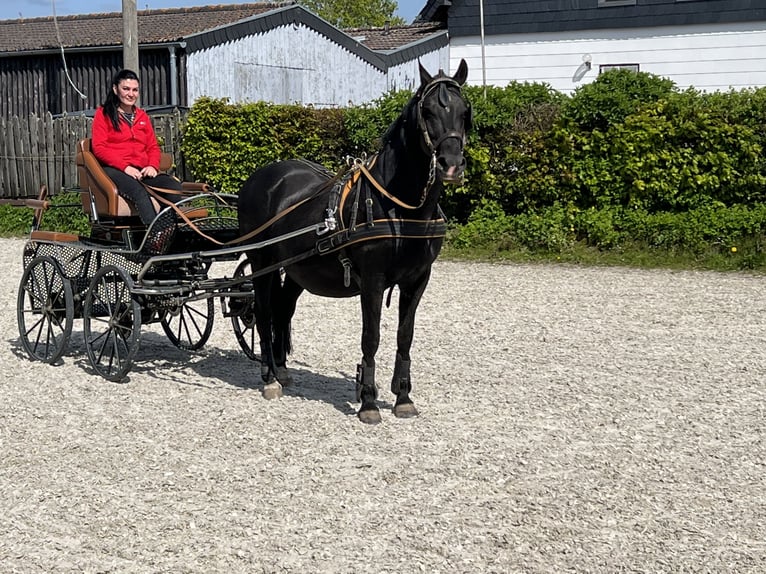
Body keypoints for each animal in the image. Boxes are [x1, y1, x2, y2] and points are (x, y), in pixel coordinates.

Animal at [237, 60, 472, 426]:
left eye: (465, 111)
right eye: (429, 111)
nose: (451, 165)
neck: (400, 206)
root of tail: (261, 177)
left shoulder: (418, 280)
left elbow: (405, 336)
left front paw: (403, 397)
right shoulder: (373, 280)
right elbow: (371, 337)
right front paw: (368, 401)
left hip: (298, 268)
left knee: (283, 308)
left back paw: (283, 371)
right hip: (262, 261)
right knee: (263, 311)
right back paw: (270, 378)